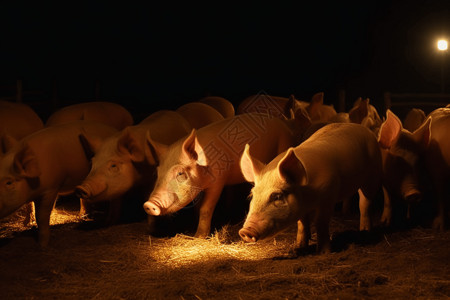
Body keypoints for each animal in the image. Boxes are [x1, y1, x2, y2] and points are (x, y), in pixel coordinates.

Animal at [144, 112, 298, 237]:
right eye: (157, 173)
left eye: (180, 173)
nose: (148, 204)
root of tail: (286, 123)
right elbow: (197, 208)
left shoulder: (218, 182)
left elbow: (205, 208)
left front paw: (199, 237)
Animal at [239, 122, 384, 253]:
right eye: (252, 195)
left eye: (277, 196)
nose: (245, 231)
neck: (308, 196)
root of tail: (361, 127)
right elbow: (302, 223)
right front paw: (299, 247)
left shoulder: (328, 195)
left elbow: (320, 222)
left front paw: (323, 252)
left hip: (373, 175)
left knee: (365, 202)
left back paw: (365, 231)